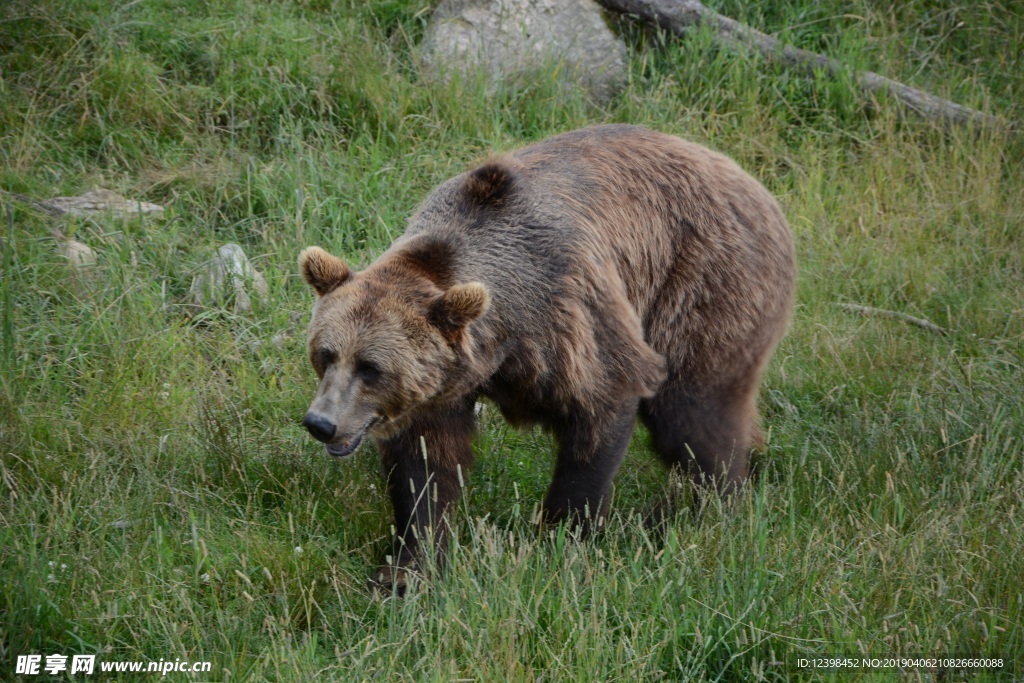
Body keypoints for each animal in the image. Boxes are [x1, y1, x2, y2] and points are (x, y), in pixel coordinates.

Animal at [298, 124, 795, 591]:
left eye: (371, 368)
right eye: (326, 355)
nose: (322, 423)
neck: (504, 339)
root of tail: (757, 186)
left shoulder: (569, 317)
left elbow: (600, 412)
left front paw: (561, 539)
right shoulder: (442, 385)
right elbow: (425, 466)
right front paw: (406, 570)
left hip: (702, 284)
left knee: (691, 415)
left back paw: (702, 509)